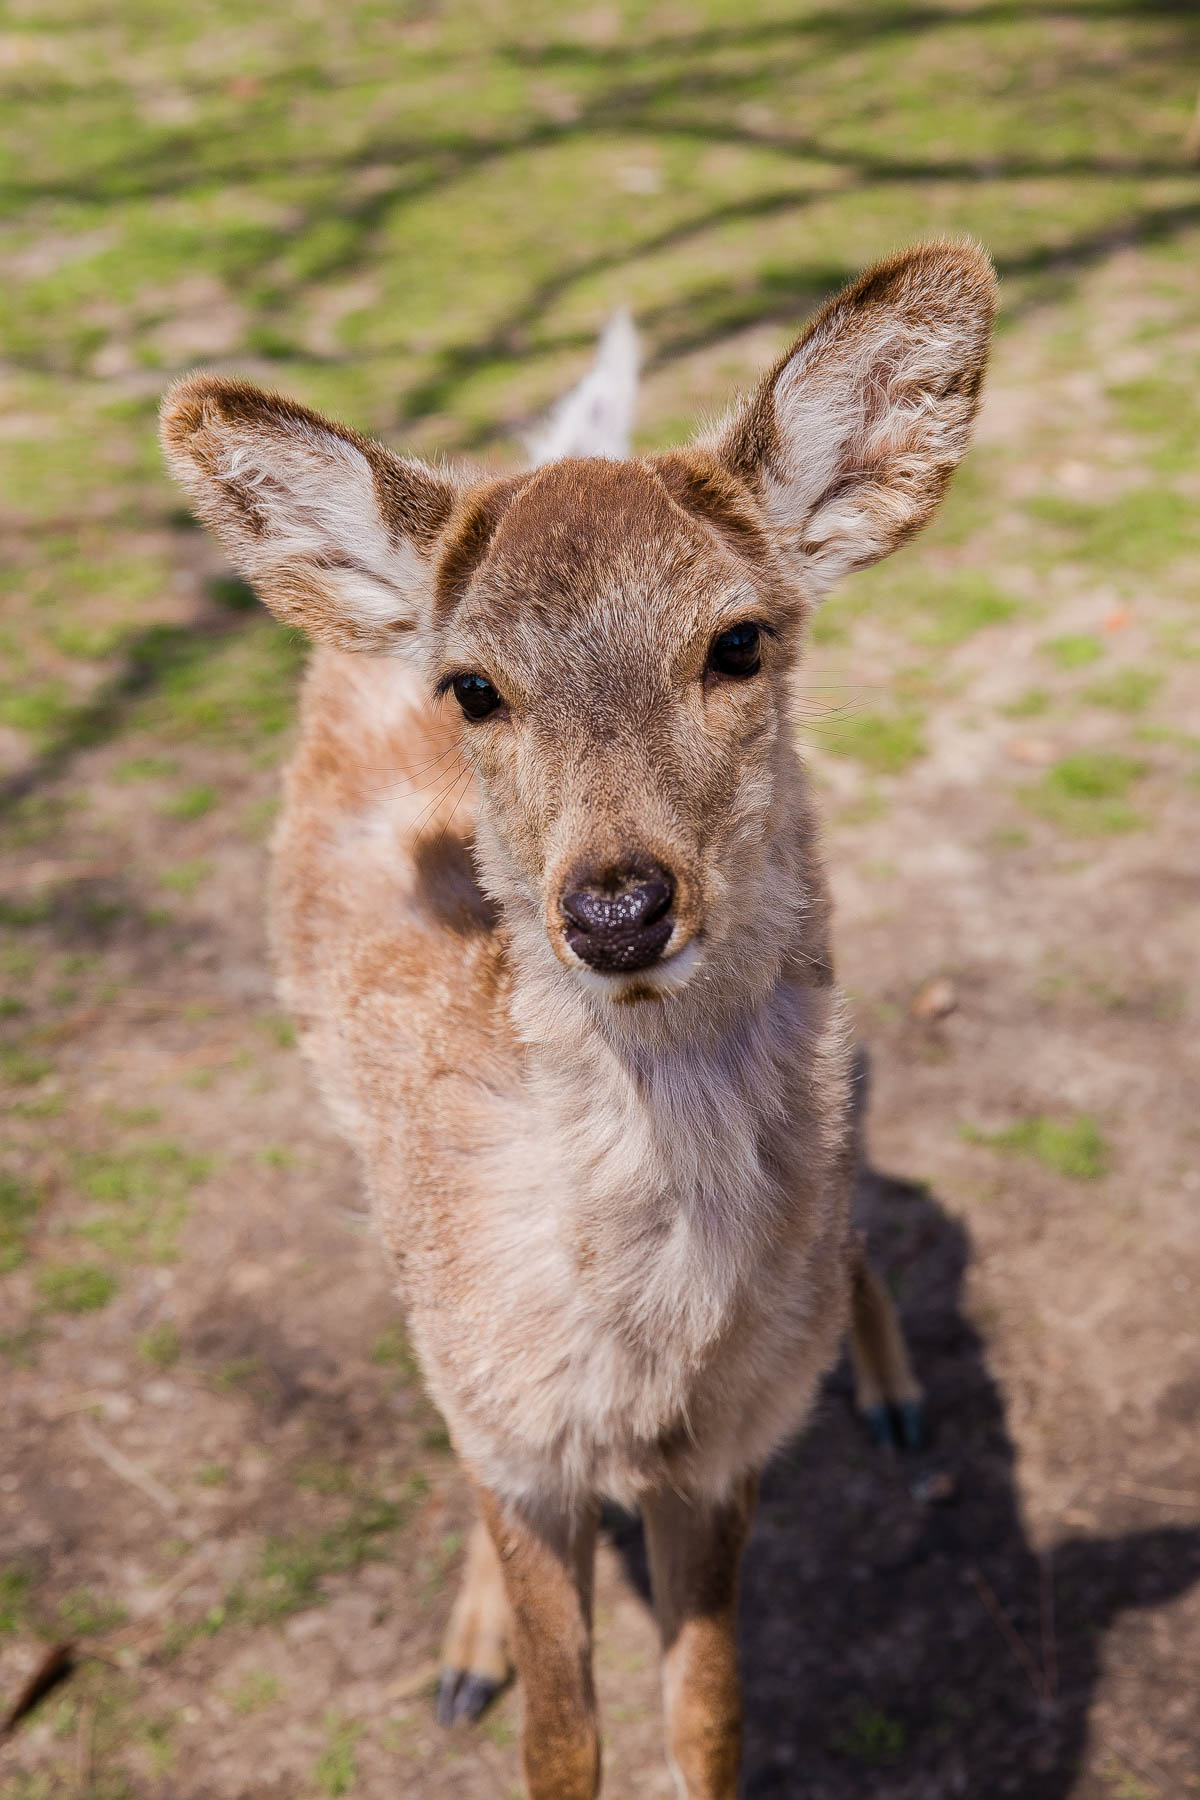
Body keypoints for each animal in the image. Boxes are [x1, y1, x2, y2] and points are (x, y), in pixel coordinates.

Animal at [164, 243, 1000, 1800]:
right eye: (474, 688)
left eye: (739, 640)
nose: (616, 906)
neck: (644, 1358)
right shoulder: (512, 1433)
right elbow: (564, 1738)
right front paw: (495, 1661)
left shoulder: (723, 1456)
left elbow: (709, 1719)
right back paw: (464, 1651)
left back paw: (893, 1393)